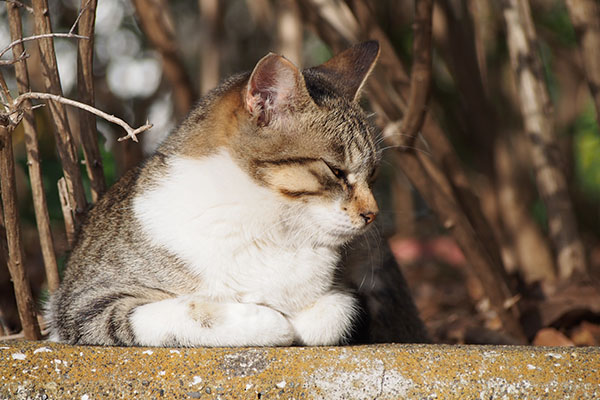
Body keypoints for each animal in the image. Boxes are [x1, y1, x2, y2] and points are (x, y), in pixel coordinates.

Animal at [49, 41, 428, 346]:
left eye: (372, 175)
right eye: (336, 171)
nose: (372, 214)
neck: (269, 228)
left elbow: (339, 312)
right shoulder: (81, 306)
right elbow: (173, 312)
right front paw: (267, 321)